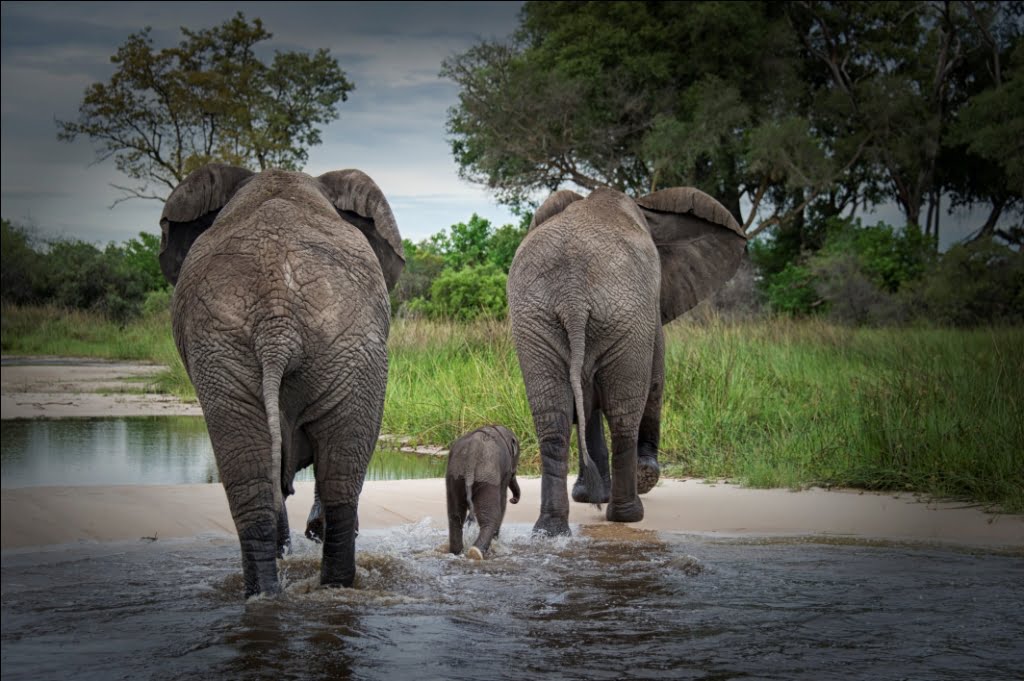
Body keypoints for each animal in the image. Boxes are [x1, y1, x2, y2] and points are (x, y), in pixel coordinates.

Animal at [158, 163, 404, 597]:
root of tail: (278, 324)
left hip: (327, 345)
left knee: (291, 477)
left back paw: (284, 590)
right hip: (260, 350)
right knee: (306, 479)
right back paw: (295, 588)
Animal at [446, 425, 522, 559]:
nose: (513, 500)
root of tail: (473, 449)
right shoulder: (505, 471)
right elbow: (502, 500)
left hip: (455, 476)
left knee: (455, 516)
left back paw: (457, 552)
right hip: (487, 477)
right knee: (490, 516)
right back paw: (476, 552)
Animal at [506, 186, 746, 536]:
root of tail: (573, 295)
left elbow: (587, 402)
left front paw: (589, 495)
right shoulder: (650, 309)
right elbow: (656, 379)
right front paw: (631, 481)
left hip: (536, 319)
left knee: (553, 421)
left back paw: (551, 529)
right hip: (622, 314)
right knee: (623, 416)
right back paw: (628, 514)